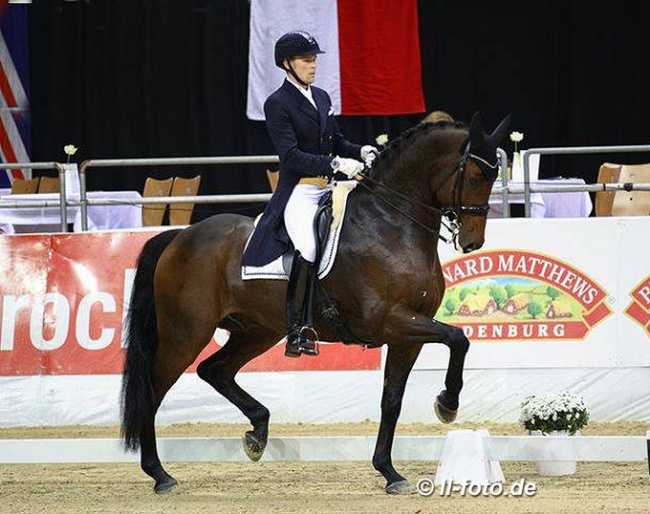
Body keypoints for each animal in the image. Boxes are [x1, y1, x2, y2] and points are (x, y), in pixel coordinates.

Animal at [120, 111, 506, 492]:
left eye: (493, 176)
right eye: (474, 176)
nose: (472, 242)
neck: (390, 224)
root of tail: (179, 237)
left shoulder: (407, 335)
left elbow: (393, 399)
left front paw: (390, 472)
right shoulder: (389, 322)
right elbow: (458, 337)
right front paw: (448, 404)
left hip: (257, 331)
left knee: (215, 370)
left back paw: (257, 433)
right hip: (186, 333)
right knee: (153, 391)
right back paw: (159, 474)